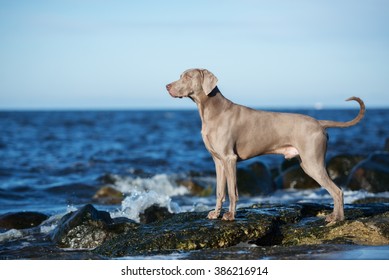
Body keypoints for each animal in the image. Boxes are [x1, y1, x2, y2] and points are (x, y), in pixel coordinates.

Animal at [166, 68, 364, 223]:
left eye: (187, 76)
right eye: (181, 75)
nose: (167, 86)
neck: (212, 110)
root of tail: (319, 123)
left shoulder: (230, 159)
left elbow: (232, 191)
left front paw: (230, 216)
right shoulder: (218, 161)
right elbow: (219, 191)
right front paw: (215, 214)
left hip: (312, 162)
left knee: (337, 191)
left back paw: (337, 219)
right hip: (307, 162)